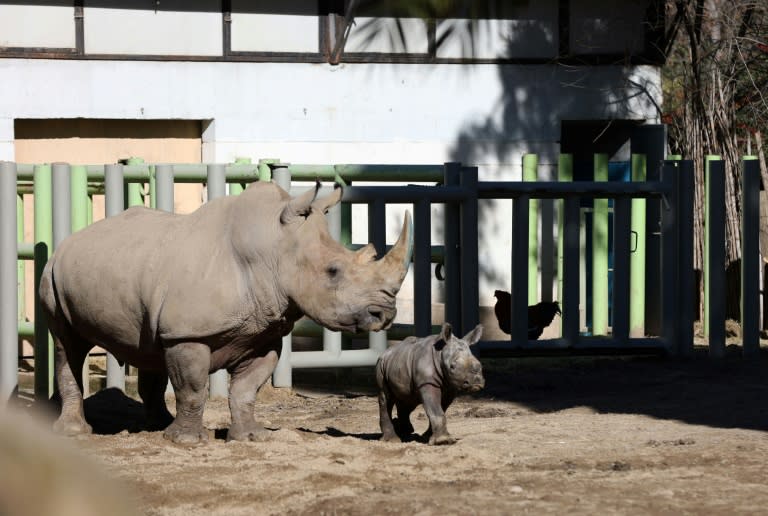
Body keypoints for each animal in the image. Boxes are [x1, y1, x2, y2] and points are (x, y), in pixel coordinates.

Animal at [40, 180, 414, 444]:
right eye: (333, 271)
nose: (385, 314)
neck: (273, 249)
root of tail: (70, 238)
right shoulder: (188, 333)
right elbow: (193, 387)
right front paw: (188, 442)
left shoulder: (262, 333)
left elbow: (247, 389)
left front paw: (250, 437)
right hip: (53, 275)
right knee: (67, 344)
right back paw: (76, 433)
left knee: (149, 347)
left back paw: (157, 427)